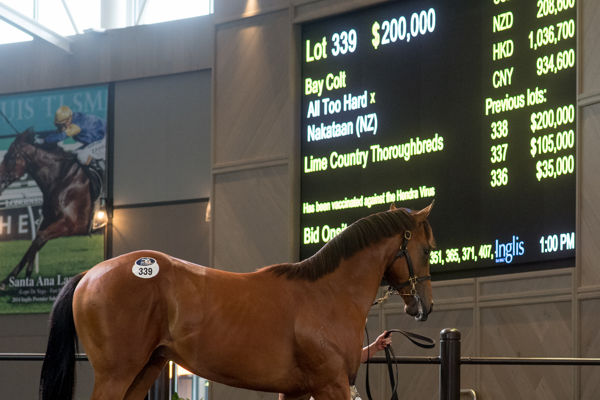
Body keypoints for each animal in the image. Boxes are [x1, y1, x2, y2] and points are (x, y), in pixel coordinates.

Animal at [0, 129, 97, 289]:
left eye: (10, 157)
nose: (0, 179)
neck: (63, 179)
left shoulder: (73, 225)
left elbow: (39, 238)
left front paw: (18, 276)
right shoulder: (50, 220)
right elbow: (36, 240)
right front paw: (18, 276)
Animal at [39, 203, 436, 400]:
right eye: (428, 249)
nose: (424, 307)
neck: (327, 294)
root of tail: (90, 274)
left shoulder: (295, 392)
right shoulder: (332, 386)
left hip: (145, 371)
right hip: (116, 374)